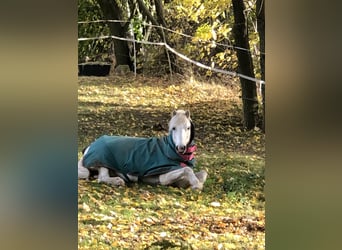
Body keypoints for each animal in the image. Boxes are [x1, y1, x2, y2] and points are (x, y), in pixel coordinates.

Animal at [78, 109, 208, 189]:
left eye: (188, 128)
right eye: (173, 128)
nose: (180, 147)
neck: (168, 150)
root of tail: (89, 148)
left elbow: (202, 173)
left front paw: (195, 183)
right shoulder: (162, 177)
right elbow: (187, 170)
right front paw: (197, 186)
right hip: (103, 163)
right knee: (102, 178)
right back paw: (118, 181)